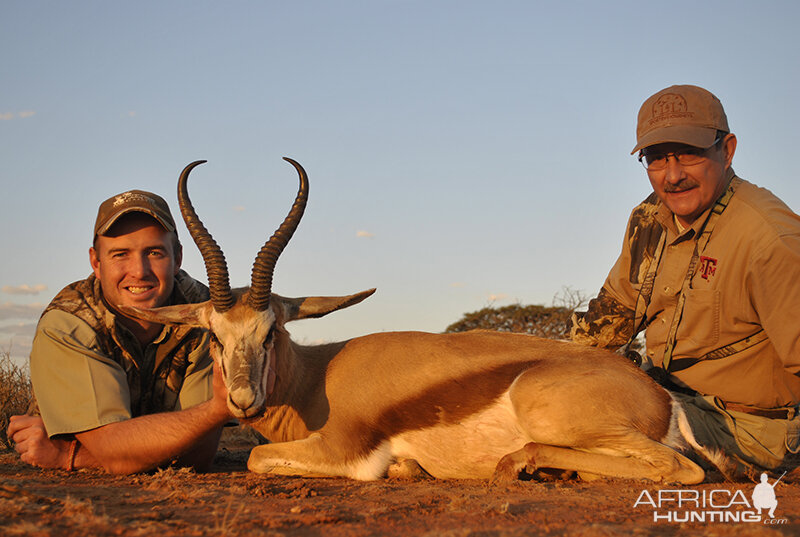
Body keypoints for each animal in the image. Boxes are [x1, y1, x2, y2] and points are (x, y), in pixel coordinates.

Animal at [125, 157, 720, 484]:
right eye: (212, 335)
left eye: (271, 331)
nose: (244, 400)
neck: (316, 379)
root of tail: (661, 397)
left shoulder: (341, 452)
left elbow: (256, 457)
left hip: (554, 414)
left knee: (682, 469)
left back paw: (520, 466)